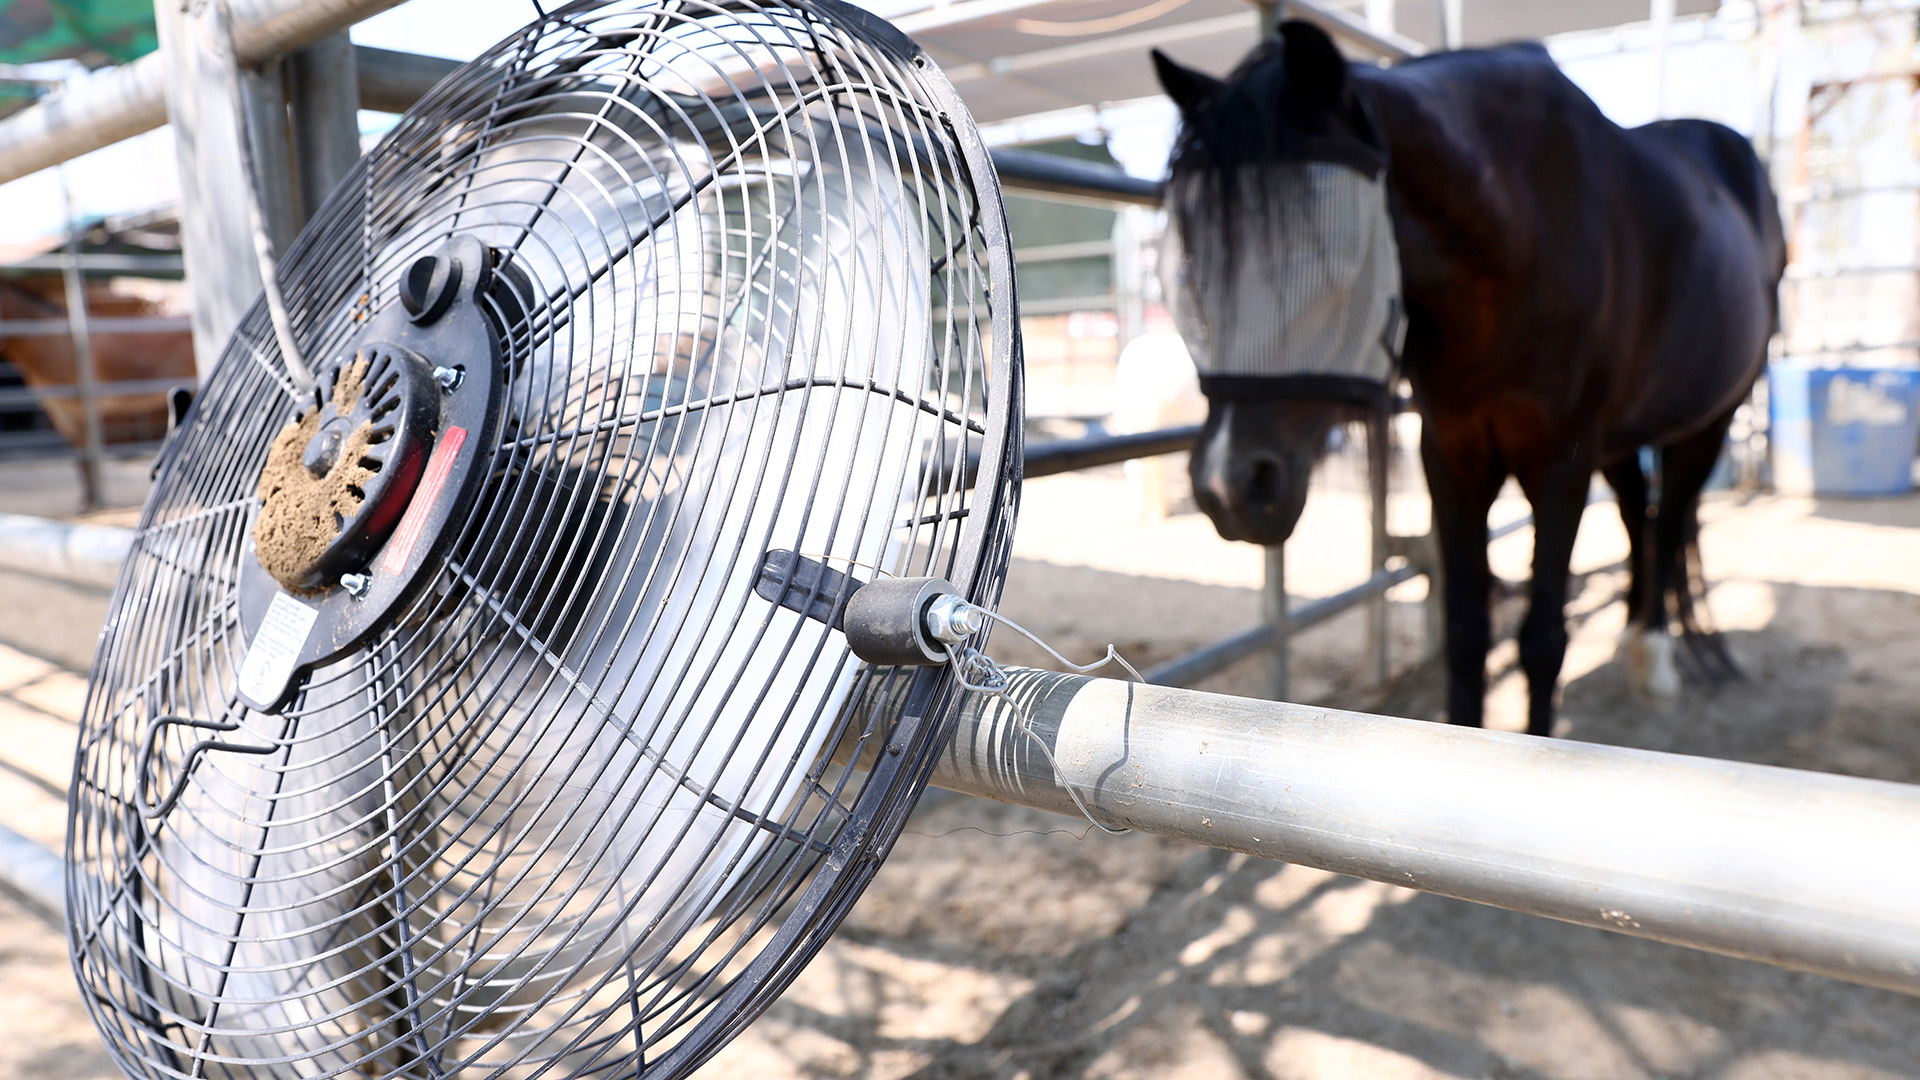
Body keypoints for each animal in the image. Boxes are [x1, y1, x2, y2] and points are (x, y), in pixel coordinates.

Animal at [1152, 22, 1785, 736]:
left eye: (1324, 257)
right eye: (1188, 263)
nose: (1226, 487)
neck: (1518, 238)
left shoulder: (1561, 465)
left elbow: (1542, 642)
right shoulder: (1453, 456)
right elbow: (1465, 634)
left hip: (1712, 418)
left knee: (1670, 518)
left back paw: (1654, 656)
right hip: (1623, 437)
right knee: (1636, 514)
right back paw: (1629, 635)